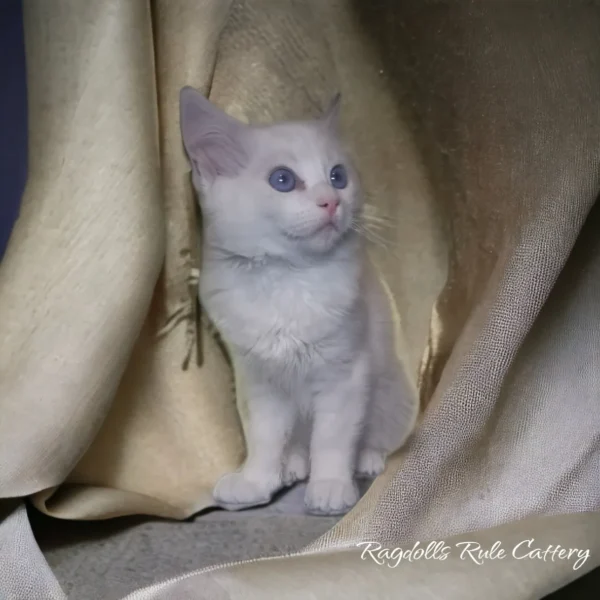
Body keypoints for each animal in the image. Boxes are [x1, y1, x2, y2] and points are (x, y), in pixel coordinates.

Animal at [178, 86, 418, 512]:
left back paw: (366, 459)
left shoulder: (345, 375)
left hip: (392, 393)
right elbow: (264, 439)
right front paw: (256, 481)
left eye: (338, 176)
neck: (289, 277)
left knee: (376, 437)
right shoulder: (259, 381)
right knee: (296, 446)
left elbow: (332, 439)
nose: (331, 201)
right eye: (283, 180)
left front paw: (330, 487)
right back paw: (291, 466)